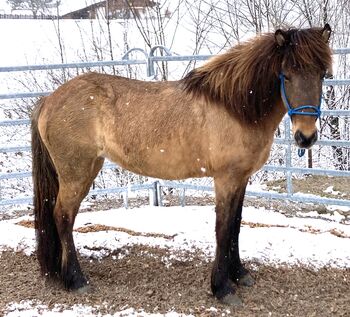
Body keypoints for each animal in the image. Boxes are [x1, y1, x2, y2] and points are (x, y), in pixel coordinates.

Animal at [31, 23, 332, 304]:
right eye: (287, 75)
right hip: (76, 174)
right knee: (63, 216)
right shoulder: (226, 179)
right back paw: (76, 280)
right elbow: (223, 229)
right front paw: (222, 288)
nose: (306, 137)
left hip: (88, 167)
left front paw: (240, 274)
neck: (235, 107)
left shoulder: (241, 179)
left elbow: (236, 225)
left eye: (322, 74)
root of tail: (49, 100)